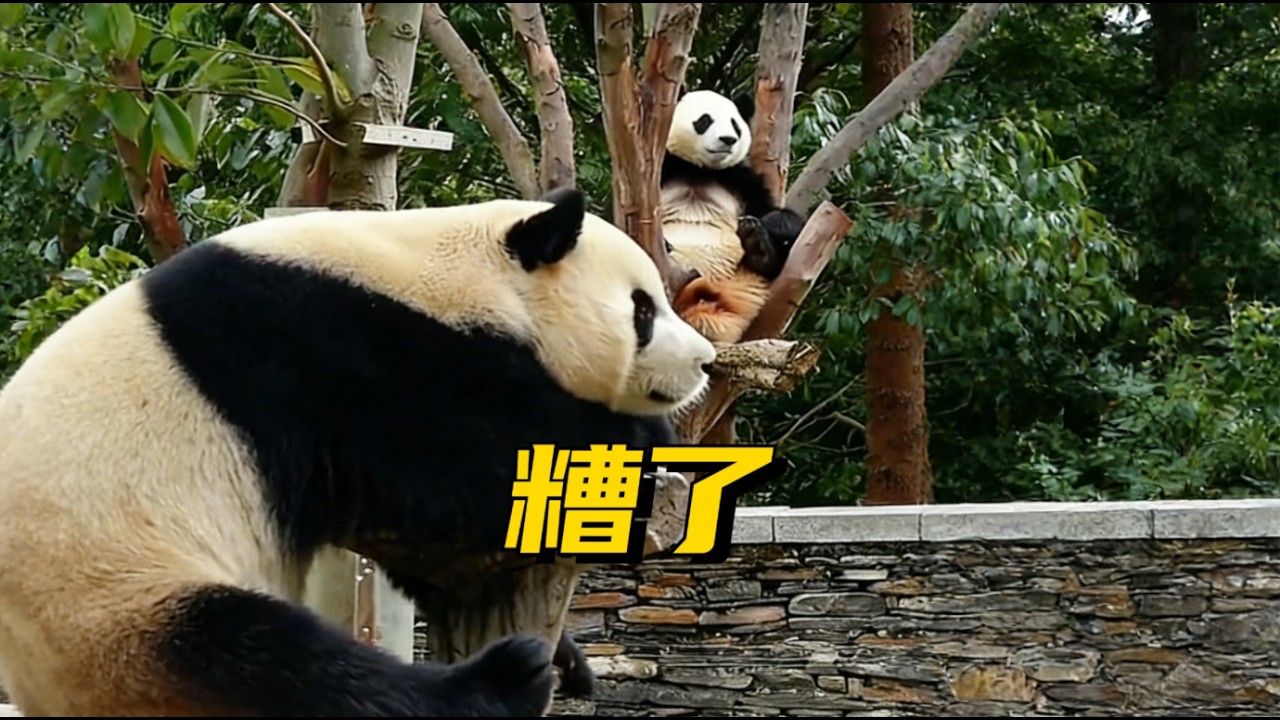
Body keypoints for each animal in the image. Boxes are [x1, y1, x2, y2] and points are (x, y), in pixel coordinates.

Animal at [0, 187, 716, 717]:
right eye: (642, 311)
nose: (706, 361)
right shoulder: (331, 355)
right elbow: (459, 469)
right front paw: (637, 439)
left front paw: (570, 651)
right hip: (120, 607)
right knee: (287, 667)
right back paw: (503, 681)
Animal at [660, 89, 808, 344]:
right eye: (704, 120)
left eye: (735, 124)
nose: (728, 139)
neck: (699, 169)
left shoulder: (739, 179)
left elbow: (767, 210)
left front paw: (777, 224)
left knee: (770, 265)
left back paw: (757, 245)